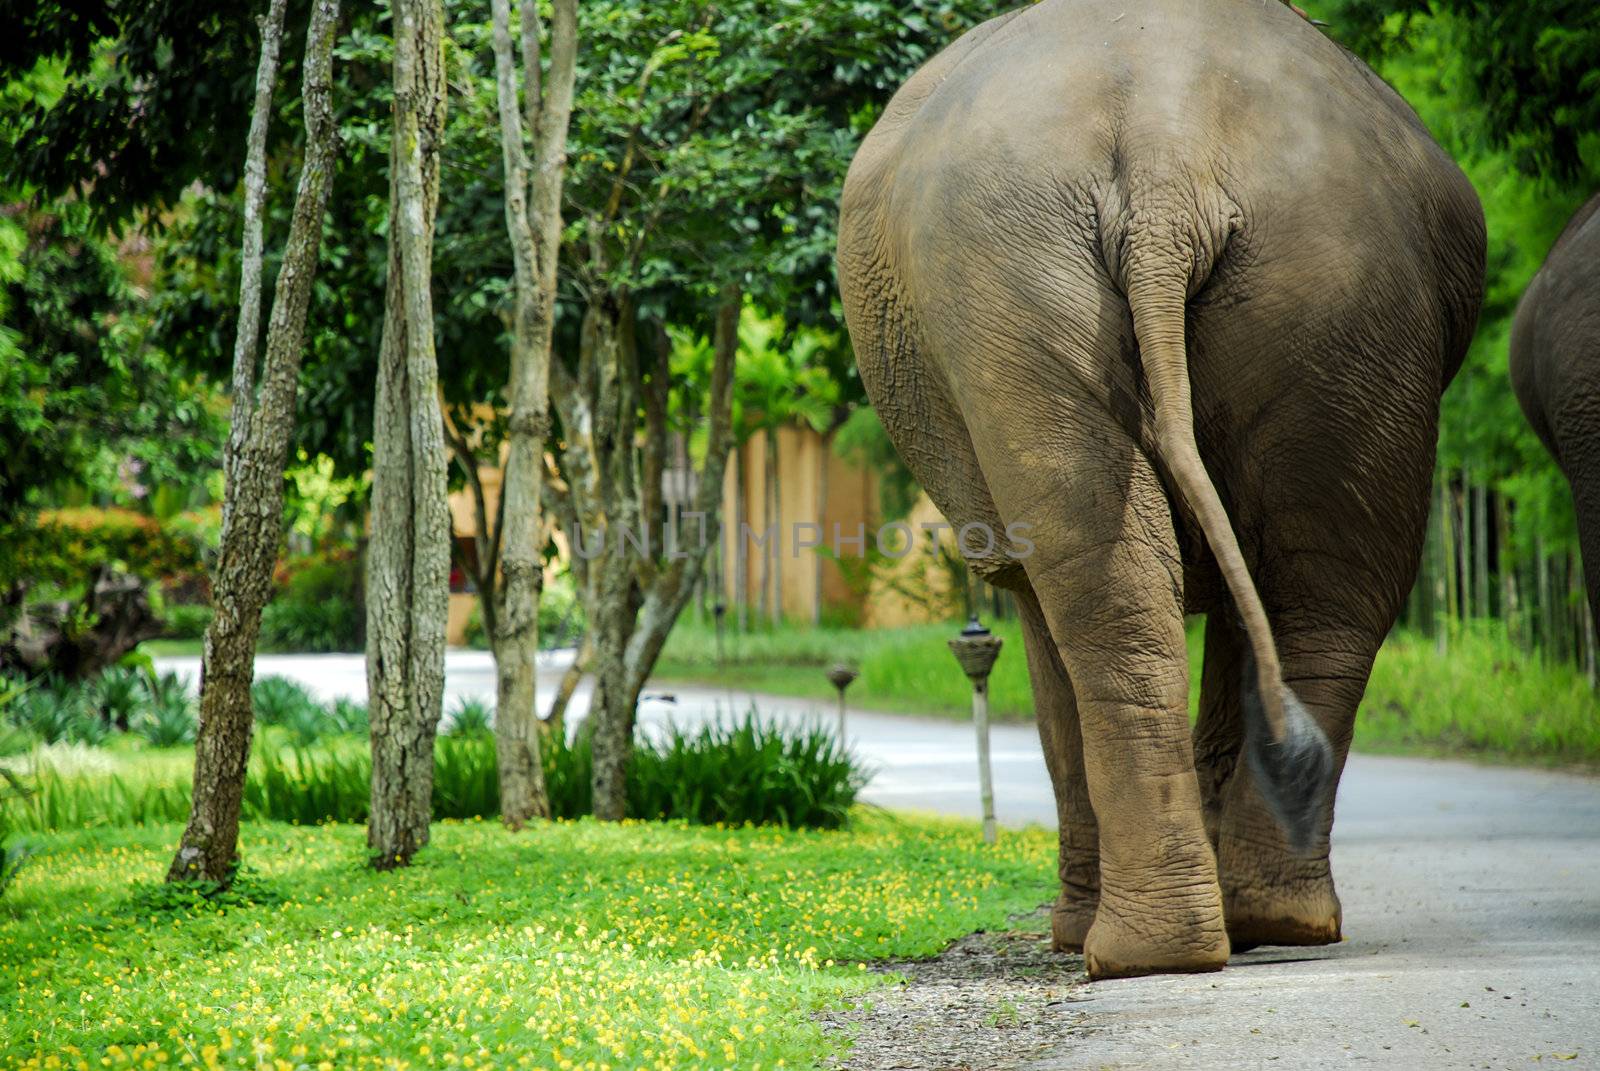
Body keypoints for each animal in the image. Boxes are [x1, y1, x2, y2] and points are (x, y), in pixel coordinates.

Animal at [838, 0, 1484, 979]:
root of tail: (1166, 154)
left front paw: (1071, 930)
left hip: (1013, 280)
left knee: (1107, 586)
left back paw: (1142, 947)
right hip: (1331, 293)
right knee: (1323, 589)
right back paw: (1255, 926)